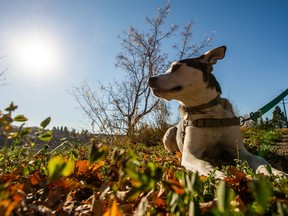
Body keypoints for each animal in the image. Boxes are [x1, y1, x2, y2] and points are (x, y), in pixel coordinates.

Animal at [148, 46, 286, 179]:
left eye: (176, 67)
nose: (150, 79)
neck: (208, 112)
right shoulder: (190, 154)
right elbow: (203, 164)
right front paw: (217, 174)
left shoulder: (238, 150)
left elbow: (259, 159)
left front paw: (275, 172)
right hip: (169, 132)